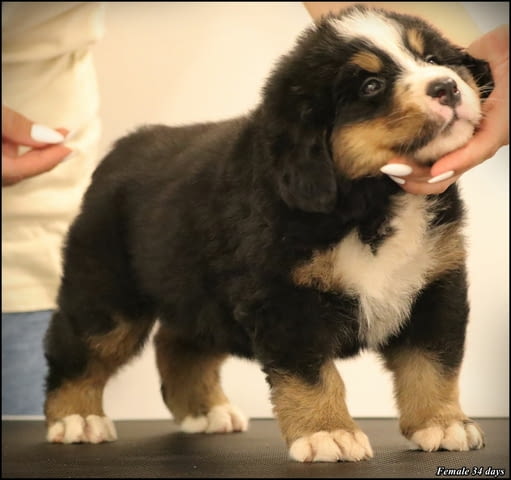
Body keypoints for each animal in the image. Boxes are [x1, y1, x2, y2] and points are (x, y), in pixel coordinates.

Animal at [46, 4, 494, 462]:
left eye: (433, 59)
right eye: (371, 85)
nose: (446, 87)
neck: (373, 199)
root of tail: (124, 148)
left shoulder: (434, 284)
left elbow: (432, 364)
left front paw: (442, 424)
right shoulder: (284, 300)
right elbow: (314, 375)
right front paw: (328, 432)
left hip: (198, 293)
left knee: (178, 345)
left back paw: (205, 411)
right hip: (107, 293)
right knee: (78, 349)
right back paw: (76, 417)